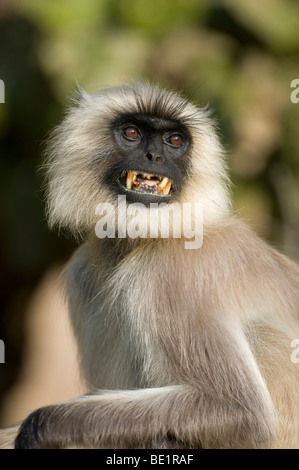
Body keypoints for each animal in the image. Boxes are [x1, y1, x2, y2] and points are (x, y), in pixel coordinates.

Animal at [0, 81, 299, 448]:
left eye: (174, 140)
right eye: (132, 133)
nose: (154, 157)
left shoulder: (171, 270)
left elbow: (239, 410)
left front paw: (37, 429)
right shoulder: (82, 273)